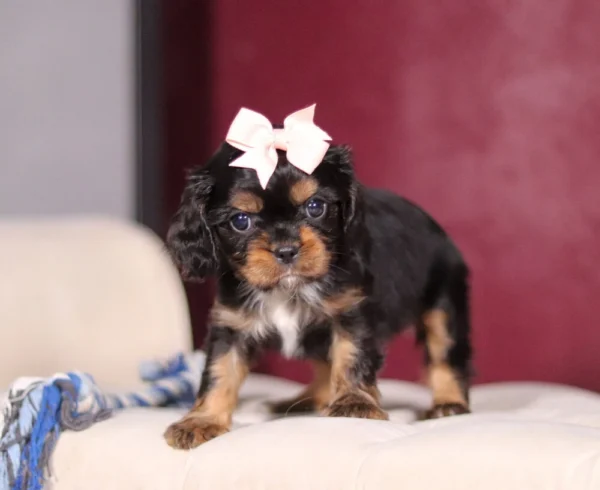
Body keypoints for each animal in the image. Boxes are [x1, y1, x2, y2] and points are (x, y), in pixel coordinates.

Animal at [164, 105, 474, 450]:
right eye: (241, 221)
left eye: (315, 207)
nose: (286, 250)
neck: (287, 289)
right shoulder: (231, 324)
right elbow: (219, 371)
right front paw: (201, 420)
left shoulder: (352, 313)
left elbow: (351, 356)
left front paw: (354, 403)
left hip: (443, 302)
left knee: (445, 354)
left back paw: (448, 403)